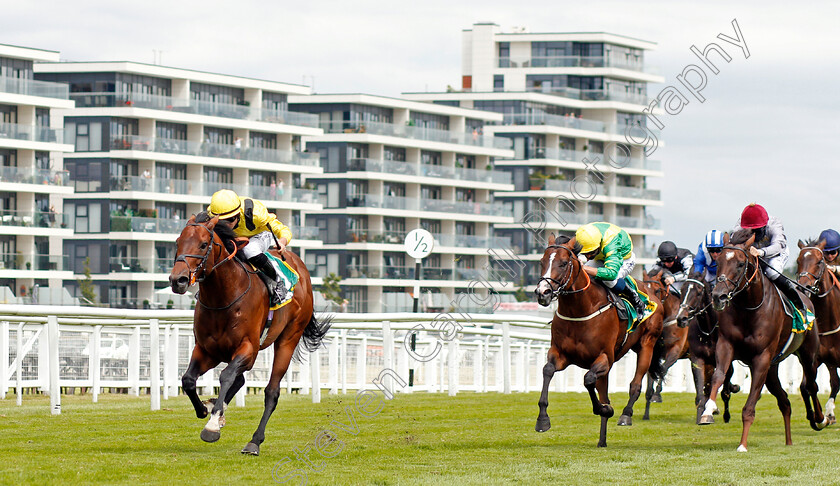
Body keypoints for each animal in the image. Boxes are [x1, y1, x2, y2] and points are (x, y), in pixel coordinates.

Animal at [169, 213, 330, 456]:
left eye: (204, 244)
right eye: (178, 242)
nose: (177, 280)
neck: (223, 297)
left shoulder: (248, 349)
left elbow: (226, 376)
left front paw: (212, 426)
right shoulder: (207, 350)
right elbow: (188, 379)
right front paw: (205, 411)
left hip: (289, 338)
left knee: (271, 391)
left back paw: (254, 441)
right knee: (240, 379)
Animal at [536, 235, 668, 448]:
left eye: (563, 263)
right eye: (542, 262)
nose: (543, 292)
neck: (580, 309)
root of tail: (652, 293)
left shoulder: (604, 358)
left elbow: (588, 379)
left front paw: (606, 409)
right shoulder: (560, 354)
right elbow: (547, 370)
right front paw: (542, 420)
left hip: (647, 345)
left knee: (635, 384)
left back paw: (625, 415)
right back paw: (602, 440)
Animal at [672, 272, 740, 424]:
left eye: (698, 292)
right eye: (682, 289)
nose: (681, 318)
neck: (709, 330)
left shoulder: (724, 360)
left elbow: (724, 389)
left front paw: (724, 414)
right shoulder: (698, 359)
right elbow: (700, 390)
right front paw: (701, 415)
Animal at [704, 229, 828, 452]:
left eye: (740, 264)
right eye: (718, 263)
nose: (719, 296)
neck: (749, 308)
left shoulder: (761, 358)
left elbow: (749, 407)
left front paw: (742, 444)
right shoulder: (726, 345)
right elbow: (718, 375)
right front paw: (708, 410)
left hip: (808, 355)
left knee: (812, 385)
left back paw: (820, 419)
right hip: (772, 370)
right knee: (785, 401)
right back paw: (789, 441)